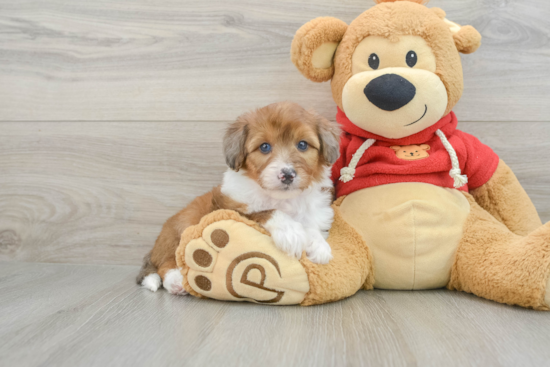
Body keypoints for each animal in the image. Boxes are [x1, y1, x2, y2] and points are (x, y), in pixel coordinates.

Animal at [137, 101, 340, 296]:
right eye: (264, 147)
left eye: (303, 145)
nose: (287, 175)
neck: (283, 199)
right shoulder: (230, 210)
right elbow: (265, 211)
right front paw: (290, 231)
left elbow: (311, 227)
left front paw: (318, 245)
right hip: (181, 229)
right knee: (166, 263)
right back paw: (177, 282)